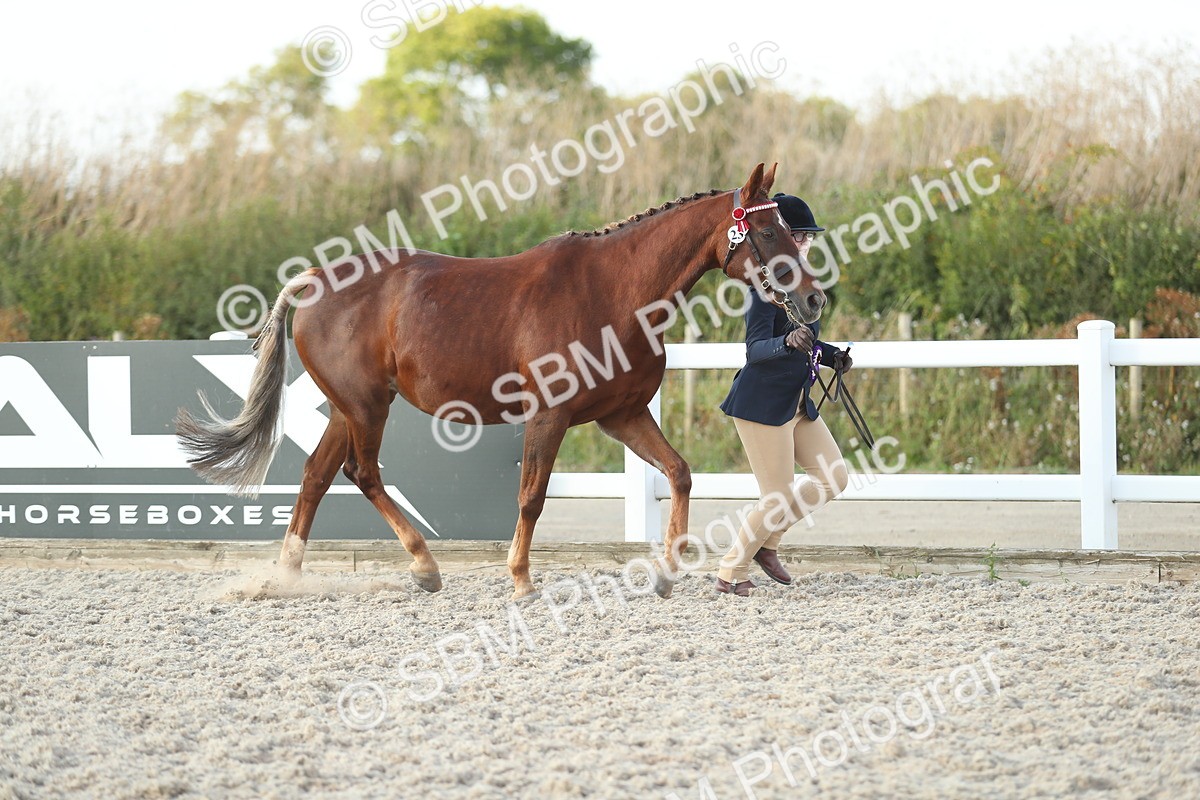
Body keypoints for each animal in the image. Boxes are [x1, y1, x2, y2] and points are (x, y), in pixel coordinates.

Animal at [176, 163, 826, 599]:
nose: (814, 300)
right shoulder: (551, 415)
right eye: (769, 233)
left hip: (349, 407)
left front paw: (667, 571)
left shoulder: (622, 415)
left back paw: (288, 577)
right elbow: (531, 497)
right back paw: (423, 566)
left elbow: (679, 472)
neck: (614, 293)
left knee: (316, 476)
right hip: (366, 408)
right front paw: (521, 580)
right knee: (361, 473)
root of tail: (313, 279)